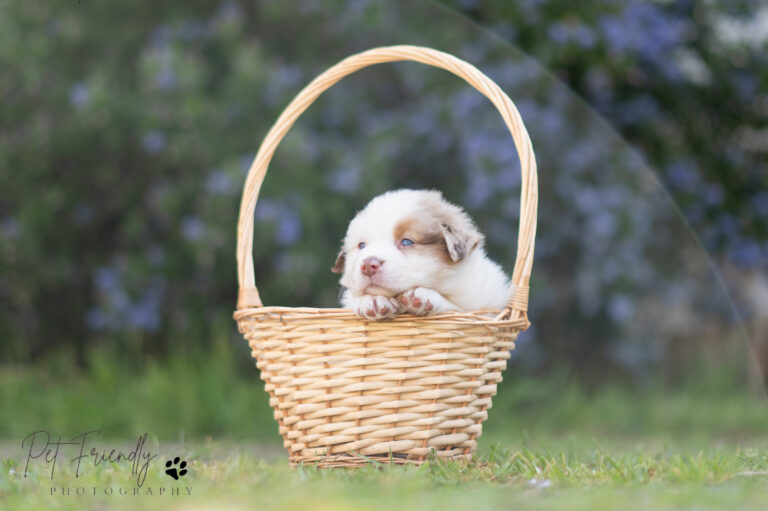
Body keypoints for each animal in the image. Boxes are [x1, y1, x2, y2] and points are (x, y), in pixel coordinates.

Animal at [334, 190, 510, 318]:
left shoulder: (484, 309)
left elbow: (457, 309)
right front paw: (373, 301)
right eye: (362, 245)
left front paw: (424, 297)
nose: (368, 265)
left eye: (406, 242)